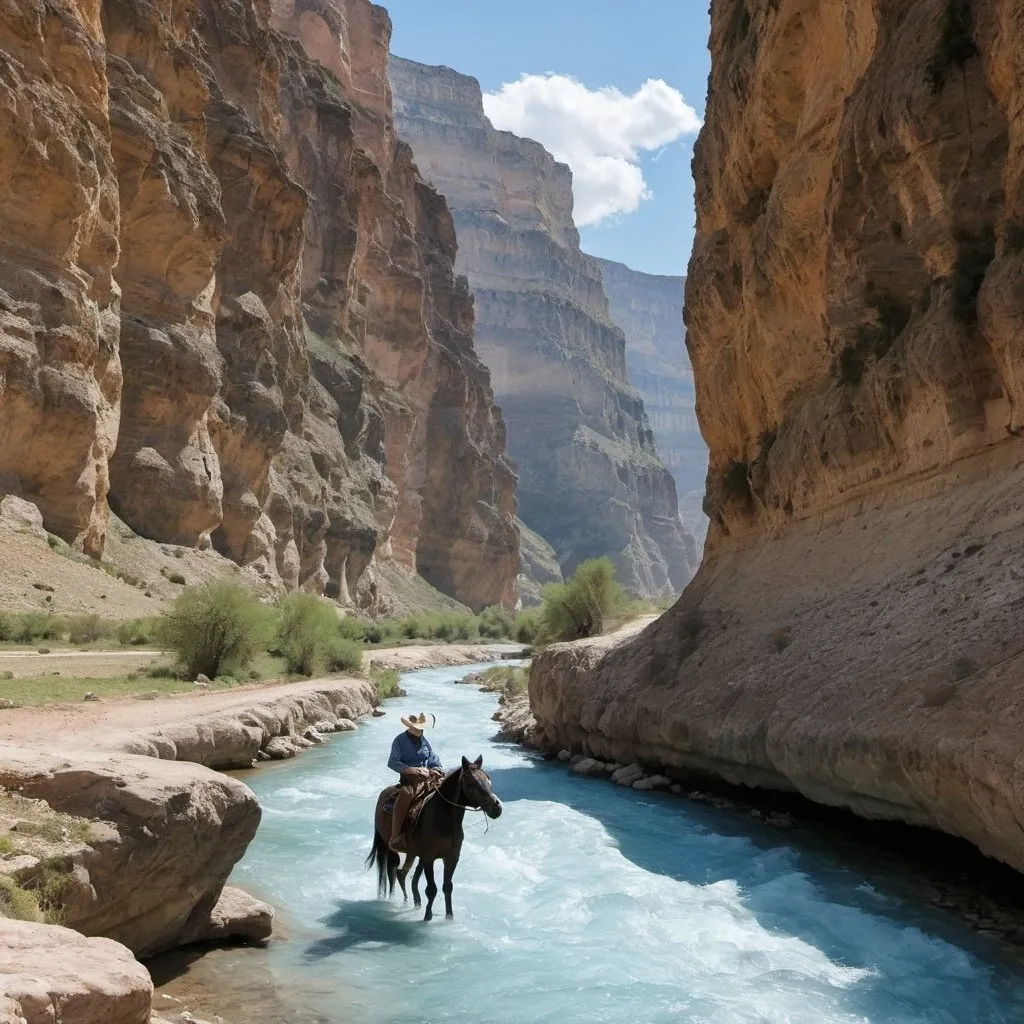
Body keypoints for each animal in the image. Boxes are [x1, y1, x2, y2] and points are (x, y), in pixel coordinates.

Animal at [366, 757, 501, 925]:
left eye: (488, 779)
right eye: (472, 783)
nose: (497, 807)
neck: (443, 820)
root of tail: (384, 794)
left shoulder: (451, 858)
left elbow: (447, 886)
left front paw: (449, 916)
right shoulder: (429, 857)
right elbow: (432, 889)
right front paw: (427, 916)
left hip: (414, 853)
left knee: (404, 874)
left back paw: (415, 901)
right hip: (391, 846)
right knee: (394, 871)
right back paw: (400, 900)